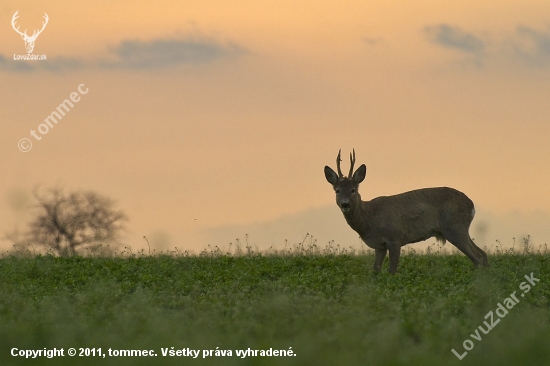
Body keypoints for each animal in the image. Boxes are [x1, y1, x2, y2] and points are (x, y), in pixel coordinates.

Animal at [324, 148, 492, 272]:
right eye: (337, 190)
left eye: (353, 190)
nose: (345, 204)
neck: (370, 219)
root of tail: (471, 205)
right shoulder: (380, 245)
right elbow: (375, 271)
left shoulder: (394, 238)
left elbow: (392, 271)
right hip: (459, 229)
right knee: (483, 254)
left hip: (454, 228)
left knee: (477, 257)